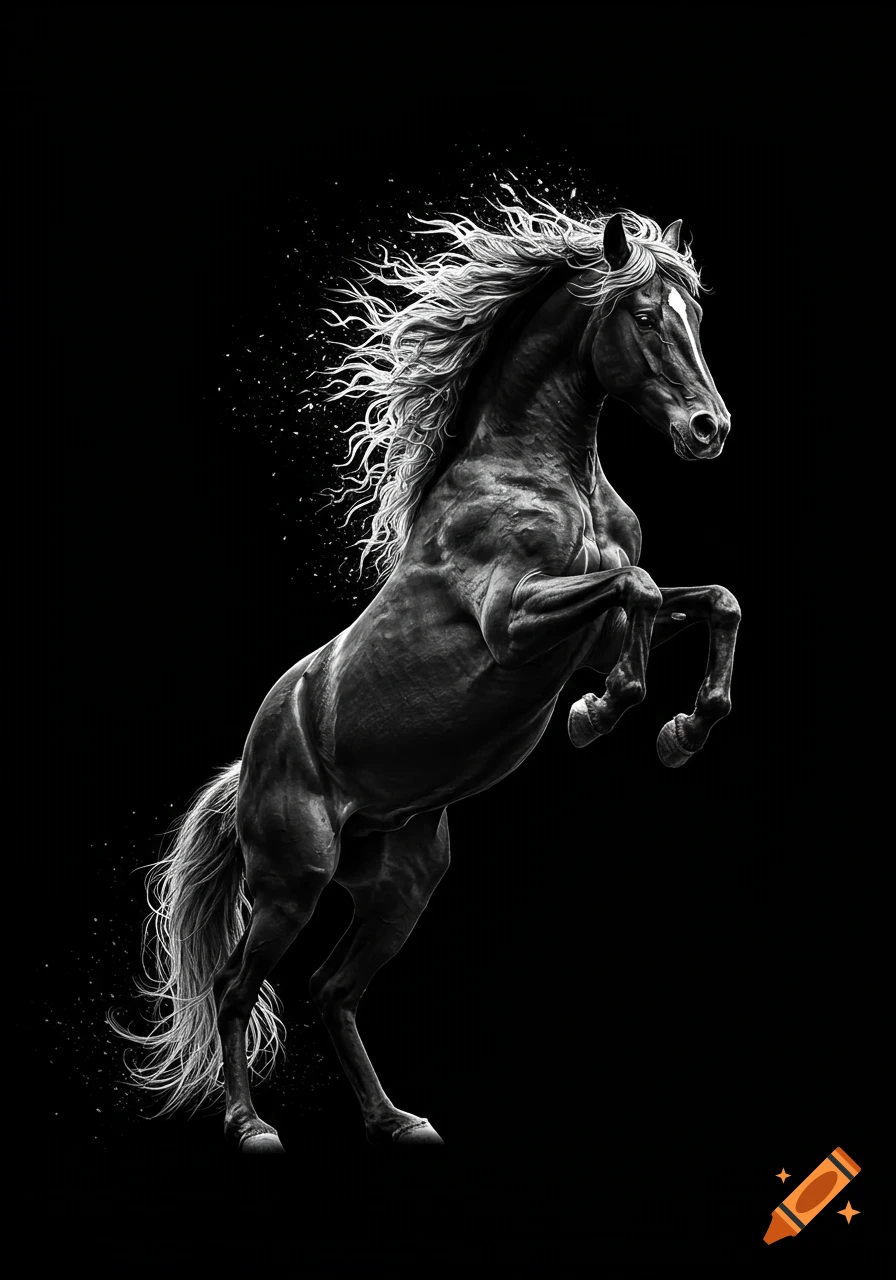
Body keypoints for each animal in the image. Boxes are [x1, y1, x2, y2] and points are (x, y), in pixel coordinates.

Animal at [110, 201, 740, 1152]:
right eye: (642, 315)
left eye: (695, 316)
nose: (709, 429)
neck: (542, 474)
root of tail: (249, 766)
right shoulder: (515, 625)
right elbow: (634, 588)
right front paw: (599, 715)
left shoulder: (591, 630)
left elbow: (708, 599)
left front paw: (682, 731)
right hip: (291, 882)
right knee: (236, 987)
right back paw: (252, 1126)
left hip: (401, 886)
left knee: (333, 991)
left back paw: (396, 1120)